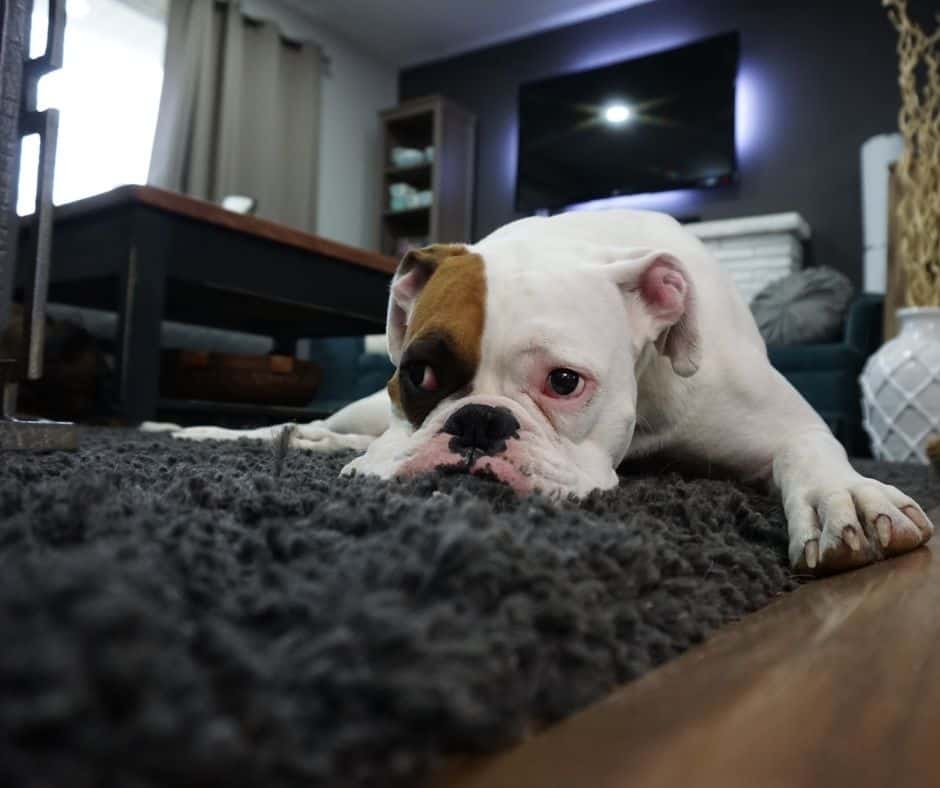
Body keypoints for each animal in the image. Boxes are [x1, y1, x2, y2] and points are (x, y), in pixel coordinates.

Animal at [171, 211, 932, 572]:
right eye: (418, 375)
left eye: (564, 382)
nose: (479, 422)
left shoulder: (785, 421)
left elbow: (813, 452)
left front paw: (845, 499)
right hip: (358, 411)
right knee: (324, 428)